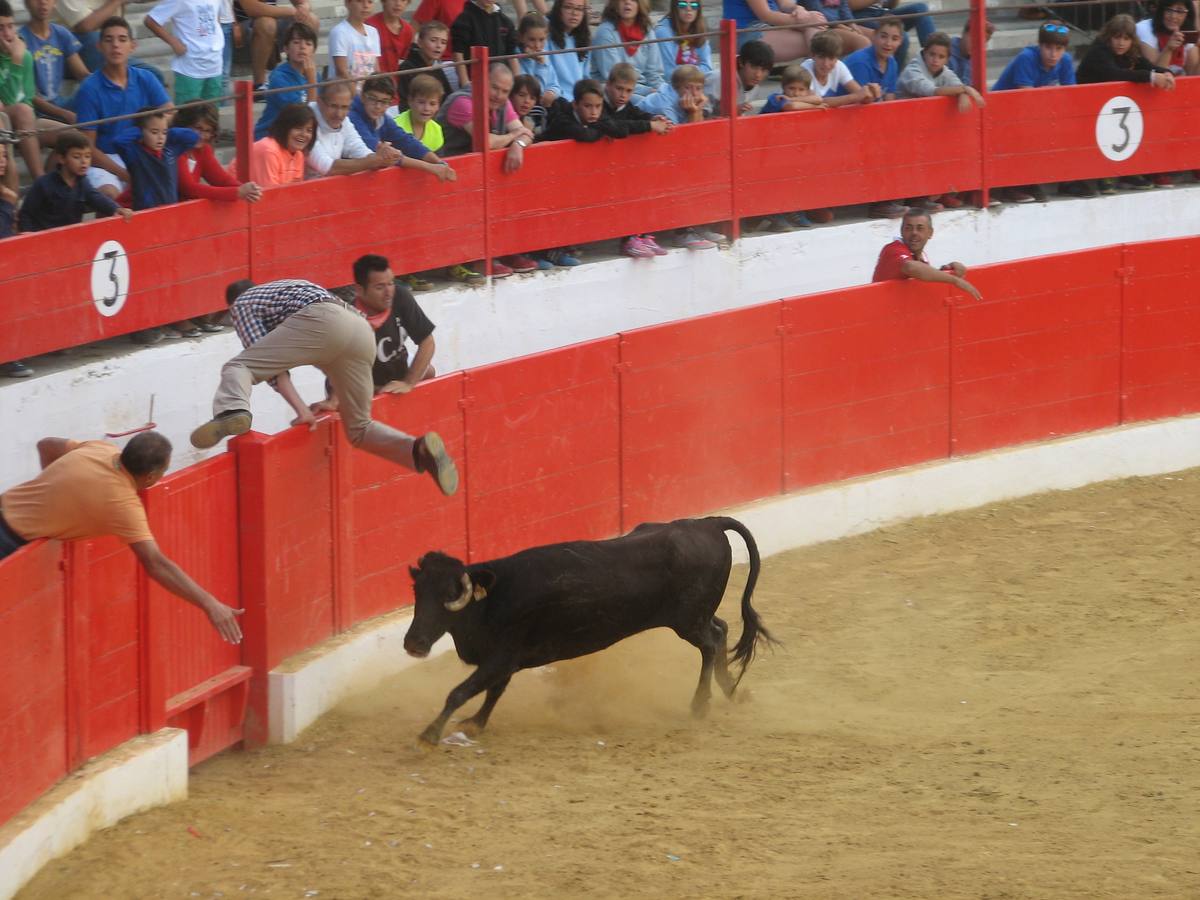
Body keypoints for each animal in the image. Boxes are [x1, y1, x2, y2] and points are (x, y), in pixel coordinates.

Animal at [403, 518, 777, 744]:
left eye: (449, 596)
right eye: (418, 592)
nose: (413, 643)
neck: (493, 597)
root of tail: (707, 523)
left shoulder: (501, 657)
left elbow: (460, 691)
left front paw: (428, 736)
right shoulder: (506, 661)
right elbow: (493, 691)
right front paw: (474, 723)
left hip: (689, 621)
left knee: (711, 643)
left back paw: (699, 705)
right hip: (696, 618)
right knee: (722, 630)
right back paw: (734, 692)